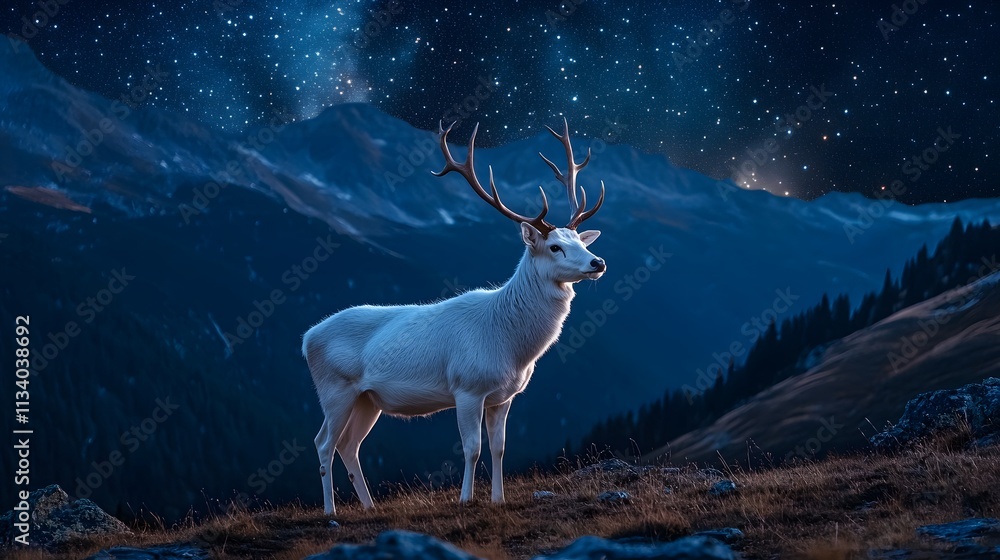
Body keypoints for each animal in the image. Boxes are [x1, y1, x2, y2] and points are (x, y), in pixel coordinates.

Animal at [301, 119, 607, 515]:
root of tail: (306, 339)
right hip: (334, 388)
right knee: (323, 443)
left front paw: (498, 499)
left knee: (348, 444)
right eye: (555, 246)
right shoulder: (467, 387)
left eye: (582, 242)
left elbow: (499, 448)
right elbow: (472, 448)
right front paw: (465, 498)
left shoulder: (504, 396)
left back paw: (368, 507)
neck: (512, 346)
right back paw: (330, 511)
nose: (597, 262)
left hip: (366, 399)